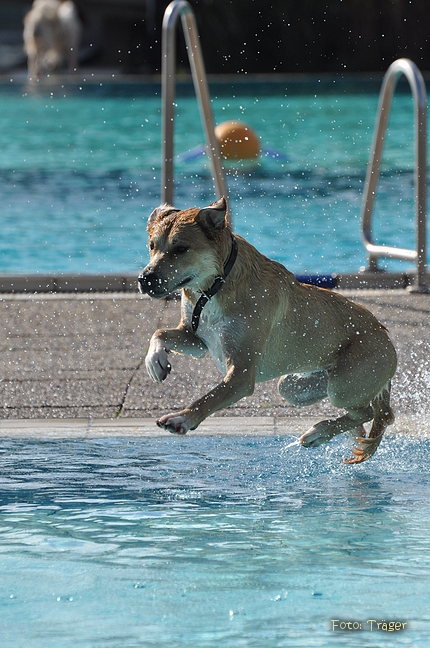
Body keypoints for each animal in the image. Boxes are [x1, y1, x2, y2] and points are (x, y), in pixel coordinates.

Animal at [139, 195, 396, 464]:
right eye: (152, 246)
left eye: (181, 249)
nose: (144, 279)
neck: (214, 286)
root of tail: (385, 336)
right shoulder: (197, 338)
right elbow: (159, 333)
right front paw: (155, 361)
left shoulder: (241, 374)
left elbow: (210, 398)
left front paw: (182, 418)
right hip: (296, 386)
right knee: (360, 412)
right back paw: (338, 432)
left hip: (345, 382)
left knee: (371, 412)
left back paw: (319, 432)